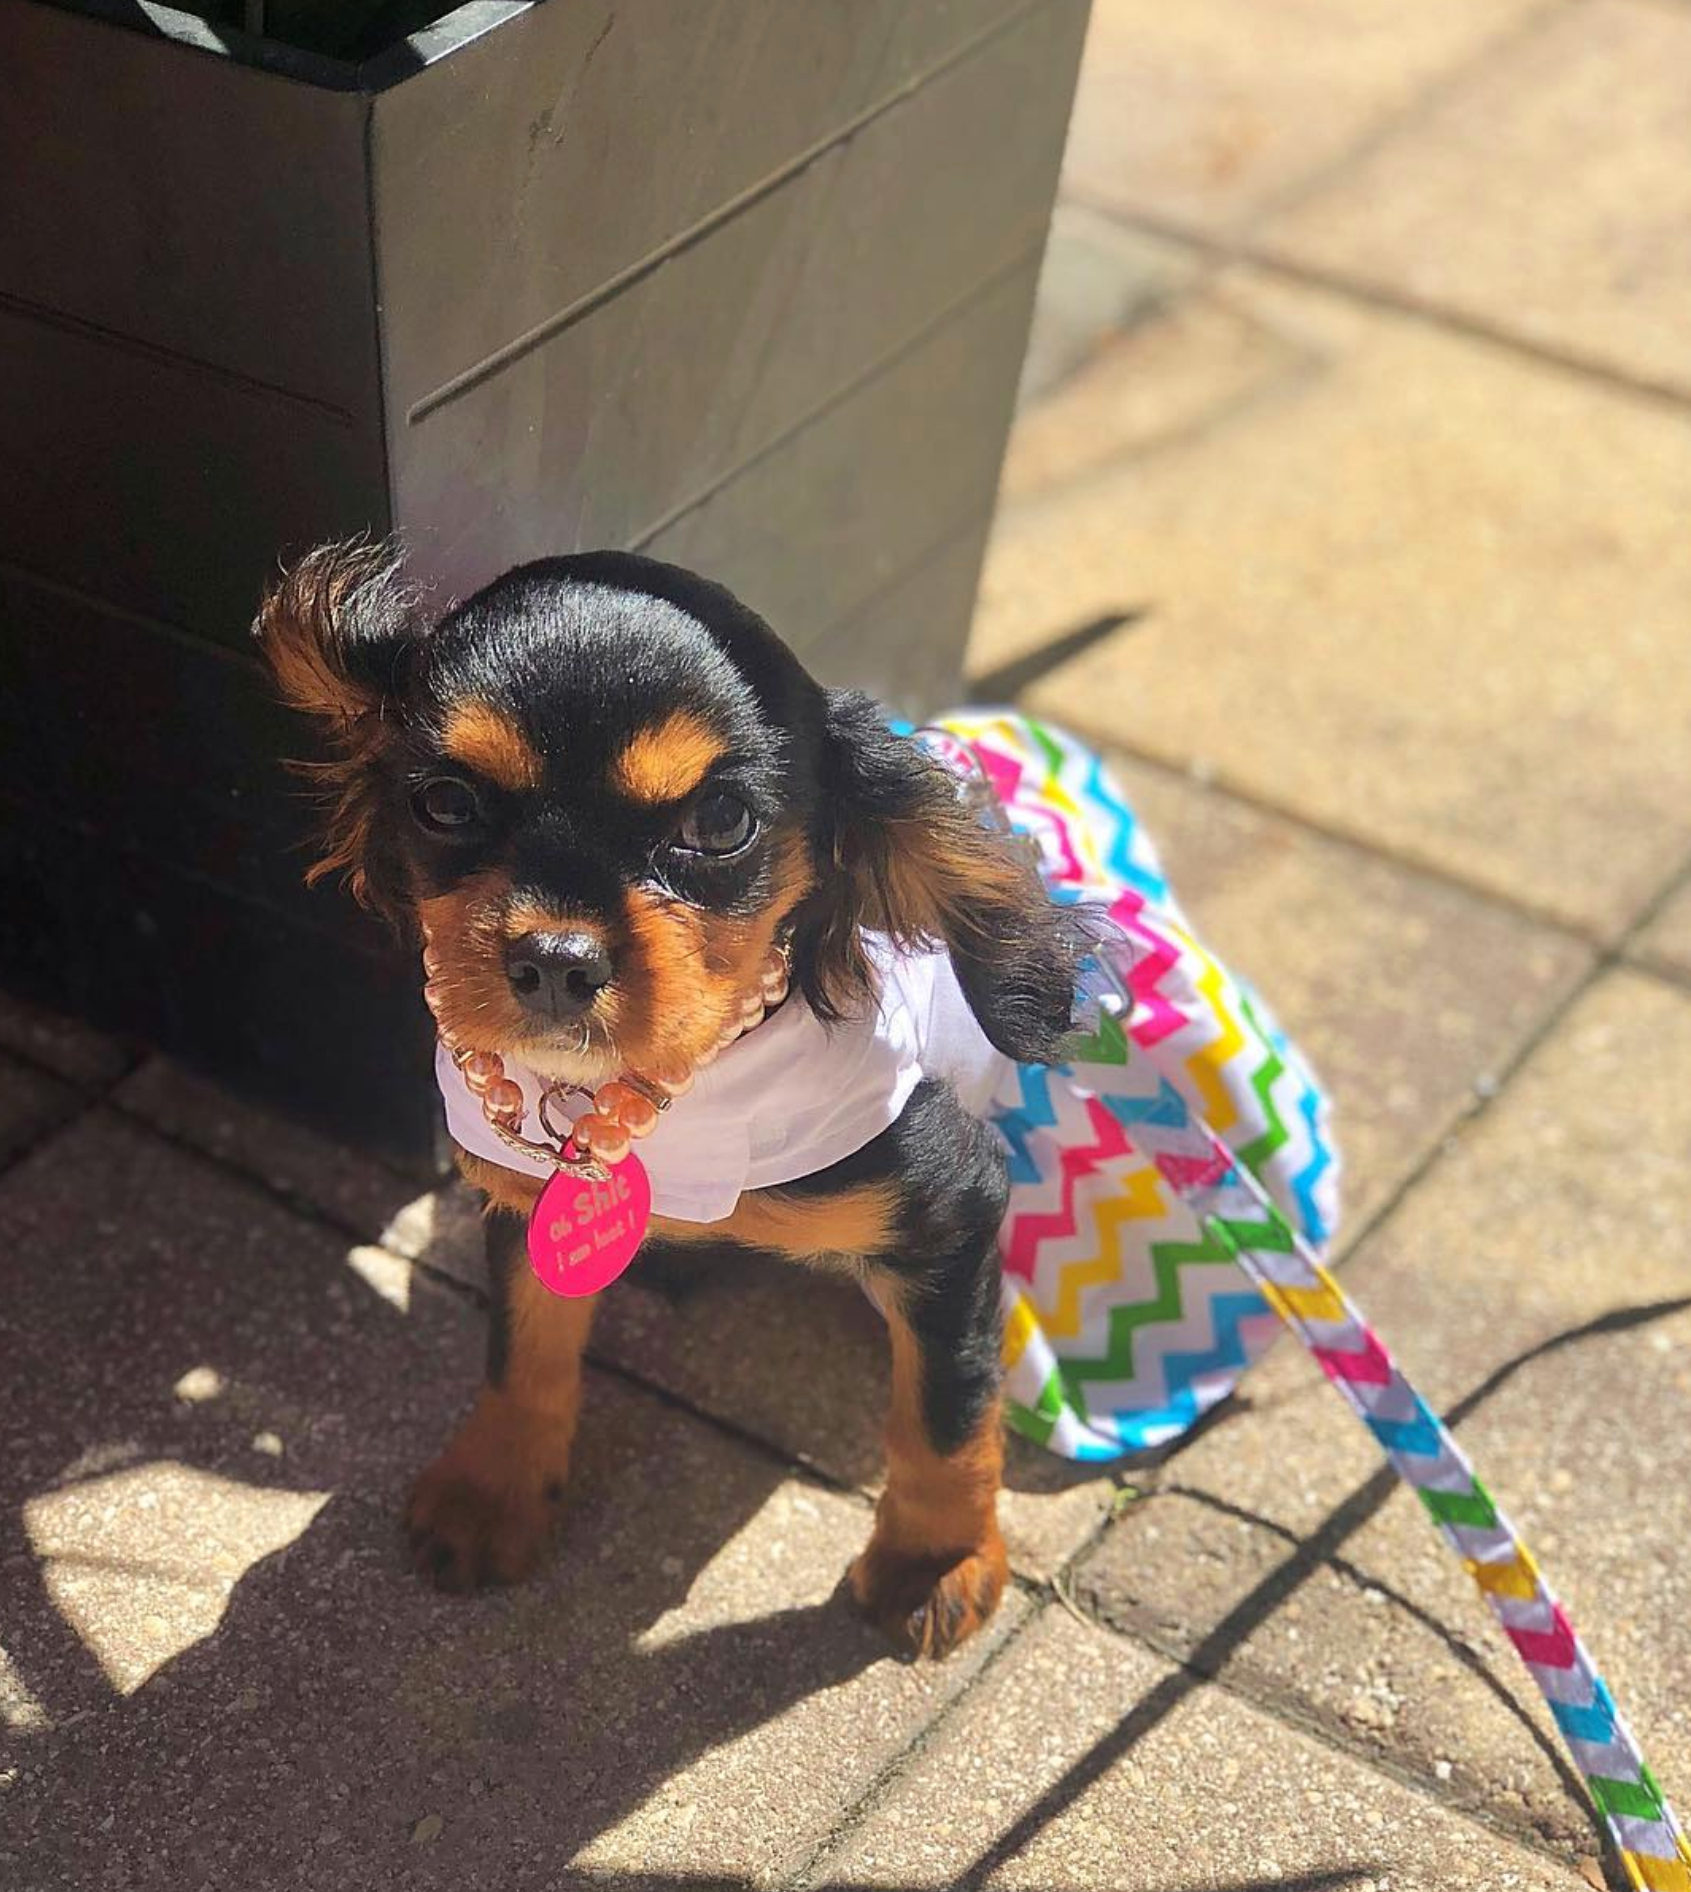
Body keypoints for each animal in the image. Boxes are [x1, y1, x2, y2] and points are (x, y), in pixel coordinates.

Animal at [256, 541, 1094, 1657]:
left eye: (720, 820)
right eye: (444, 801)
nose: (555, 960)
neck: (668, 1096)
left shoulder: (953, 1212)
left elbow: (946, 1407)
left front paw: (933, 1557)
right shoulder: (523, 1203)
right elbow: (523, 1350)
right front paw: (494, 1490)